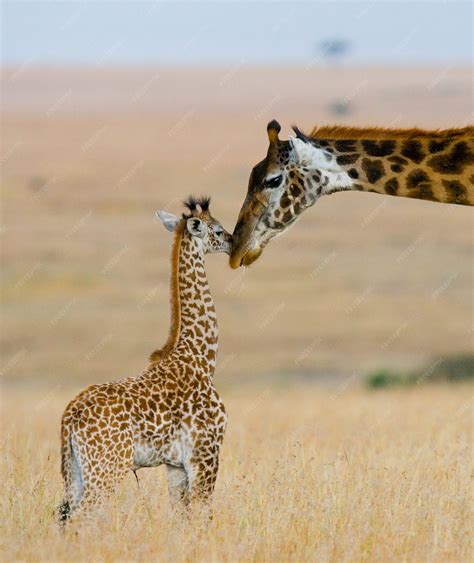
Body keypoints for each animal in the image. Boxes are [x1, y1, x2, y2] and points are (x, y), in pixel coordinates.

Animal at [58, 198, 232, 524]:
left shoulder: (175, 465)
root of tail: (70, 416)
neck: (202, 357)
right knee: (82, 518)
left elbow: (180, 518)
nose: (232, 241)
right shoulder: (205, 454)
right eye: (217, 229)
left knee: (61, 517)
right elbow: (204, 515)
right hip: (106, 468)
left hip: (74, 470)